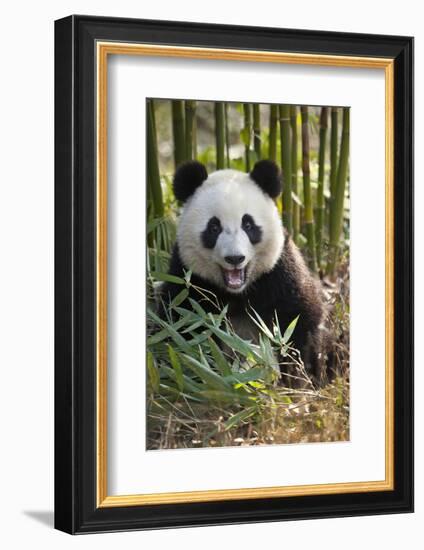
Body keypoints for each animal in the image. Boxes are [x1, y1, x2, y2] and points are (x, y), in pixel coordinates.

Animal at [161, 157, 326, 386]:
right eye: (214, 227)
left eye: (248, 224)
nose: (235, 258)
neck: (238, 292)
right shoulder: (188, 280)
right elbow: (184, 329)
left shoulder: (280, 273)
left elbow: (299, 322)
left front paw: (296, 378)